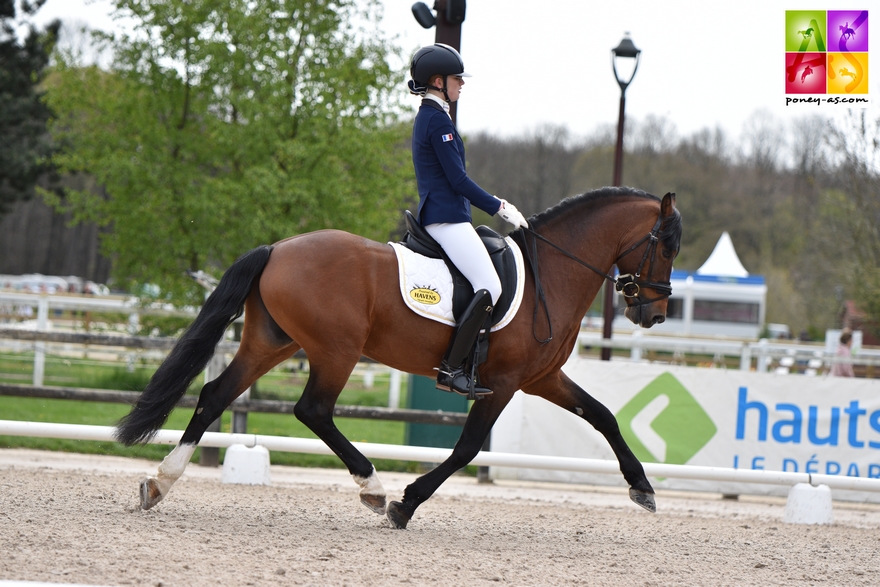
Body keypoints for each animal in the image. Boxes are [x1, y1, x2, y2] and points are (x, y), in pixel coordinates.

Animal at [115, 187, 680, 528]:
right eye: (669, 246)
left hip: (272, 343)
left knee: (214, 396)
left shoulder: (541, 377)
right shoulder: (502, 382)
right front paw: (404, 505)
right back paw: (372, 486)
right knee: (313, 410)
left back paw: (159, 483)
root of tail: (277, 247)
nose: (654, 314)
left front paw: (643, 488)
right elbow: (467, 448)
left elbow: (603, 415)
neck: (553, 274)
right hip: (336, 350)